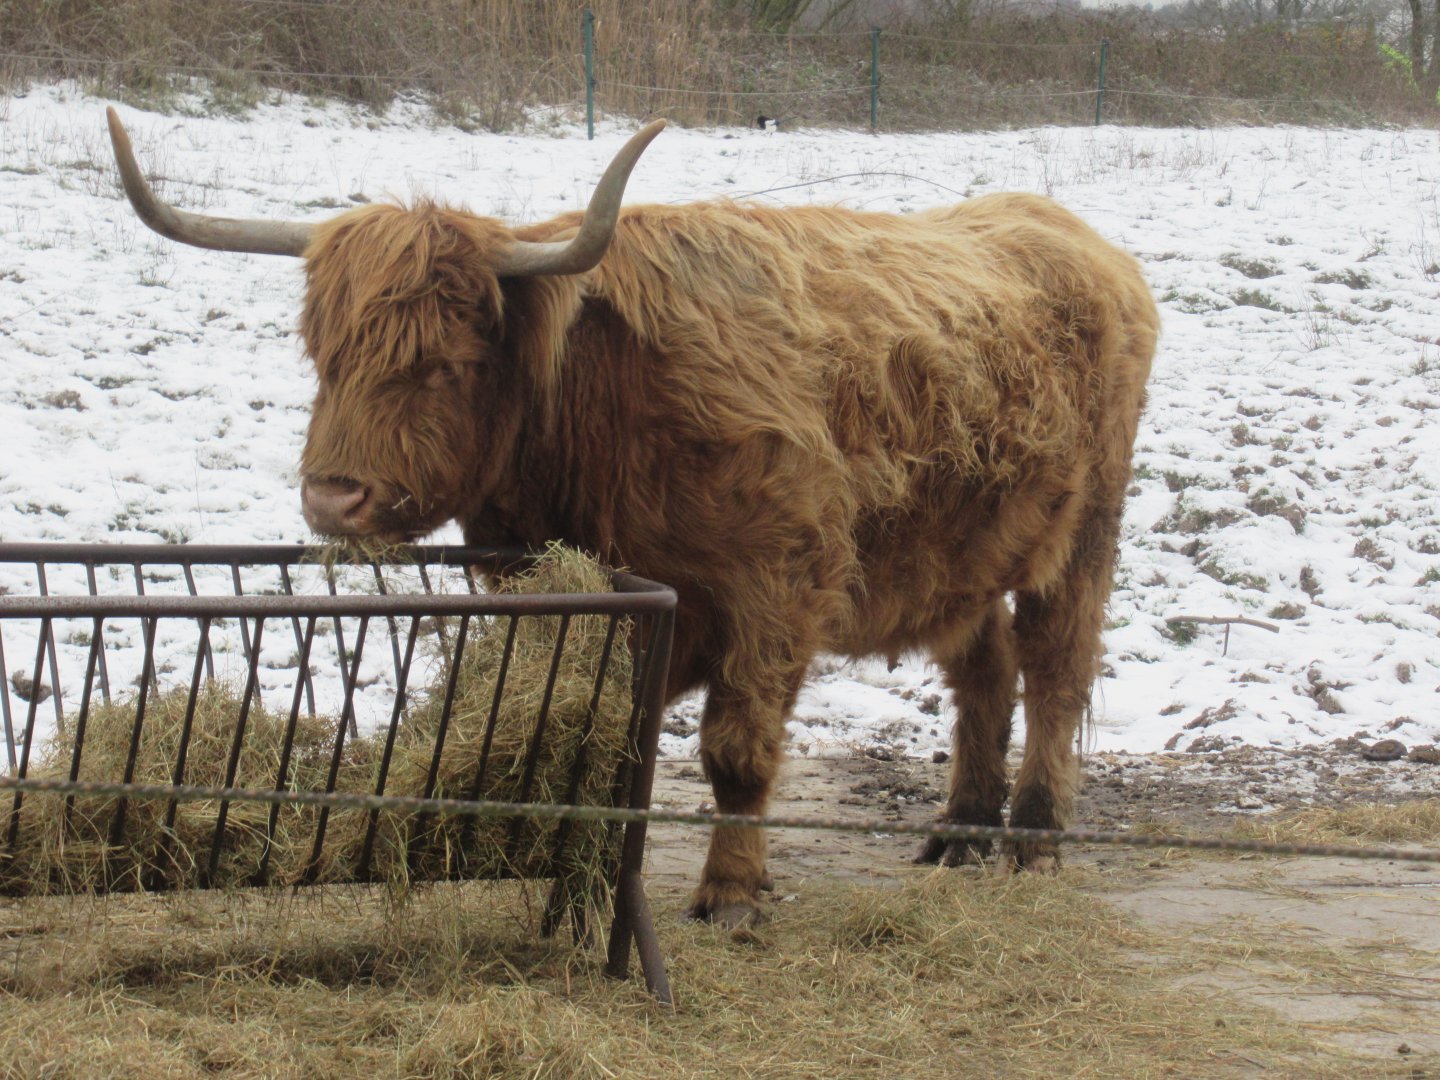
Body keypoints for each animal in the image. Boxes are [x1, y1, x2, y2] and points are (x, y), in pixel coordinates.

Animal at [106, 107, 1158, 927]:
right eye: (323, 356)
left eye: (442, 364)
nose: (334, 496)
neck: (601, 408)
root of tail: (1077, 239)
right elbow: (603, 744)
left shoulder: (779, 583)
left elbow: (736, 749)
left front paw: (730, 892)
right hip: (957, 552)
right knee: (984, 668)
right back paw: (959, 832)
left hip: (1085, 533)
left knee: (1056, 673)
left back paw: (1032, 836)